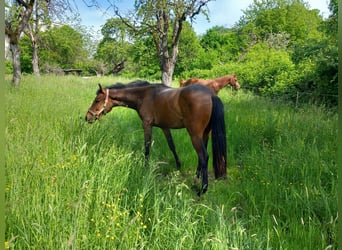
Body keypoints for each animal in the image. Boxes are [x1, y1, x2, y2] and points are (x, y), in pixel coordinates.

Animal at [85, 80, 227, 195]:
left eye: (97, 100)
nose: (87, 117)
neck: (143, 96)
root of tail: (211, 95)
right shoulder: (165, 127)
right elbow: (172, 146)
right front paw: (178, 165)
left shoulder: (147, 125)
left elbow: (147, 147)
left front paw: (145, 168)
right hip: (205, 134)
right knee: (201, 157)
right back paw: (196, 178)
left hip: (195, 135)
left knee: (204, 156)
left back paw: (203, 189)